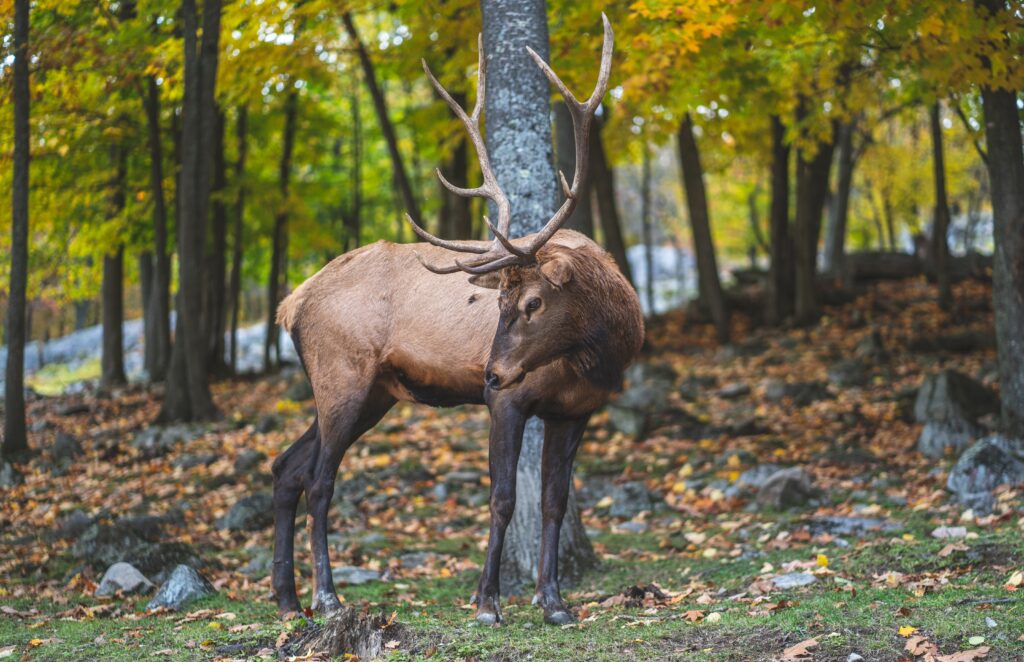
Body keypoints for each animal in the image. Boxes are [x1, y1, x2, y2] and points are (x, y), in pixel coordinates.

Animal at [272, 16, 638, 627]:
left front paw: (554, 603)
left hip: (374, 393)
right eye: (499, 303)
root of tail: (289, 305)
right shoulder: (509, 401)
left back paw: (286, 599)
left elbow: (555, 503)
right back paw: (326, 596)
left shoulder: (575, 412)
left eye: (532, 302)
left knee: (286, 467)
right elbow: (503, 498)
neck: (603, 355)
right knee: (320, 479)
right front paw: (487, 602)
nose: (489, 371)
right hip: (342, 377)